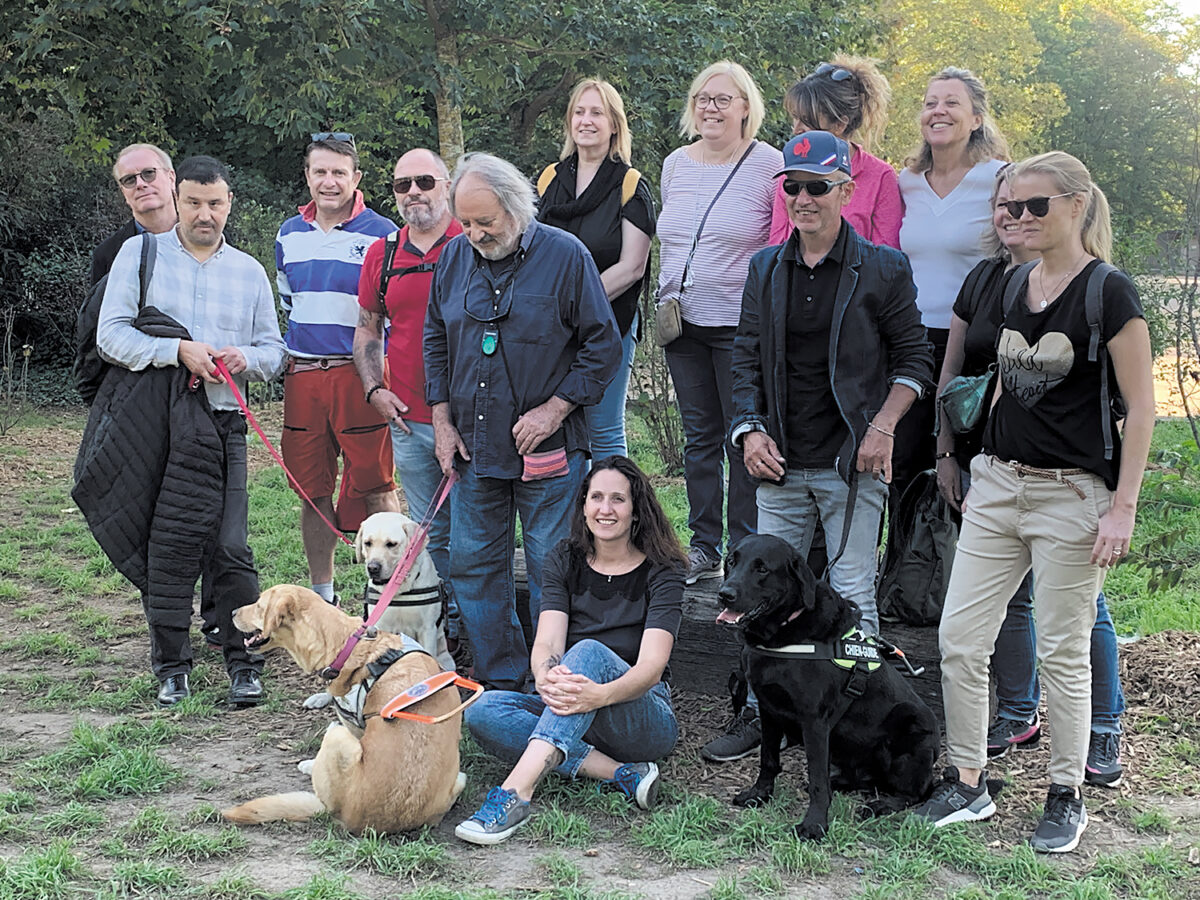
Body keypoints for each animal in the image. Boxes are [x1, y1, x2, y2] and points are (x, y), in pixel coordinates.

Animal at [220, 588, 463, 835]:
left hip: (337, 734)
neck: (347, 646)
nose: (232, 612)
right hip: (458, 779)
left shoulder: (352, 724)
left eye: (259, 606)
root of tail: (351, 820)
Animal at [710, 535, 936, 840]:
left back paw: (881, 804)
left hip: (914, 720)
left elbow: (816, 777)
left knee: (914, 793)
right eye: (732, 561)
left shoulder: (814, 721)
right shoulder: (769, 710)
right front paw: (759, 794)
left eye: (762, 569)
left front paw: (814, 824)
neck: (783, 634)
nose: (725, 594)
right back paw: (842, 782)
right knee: (863, 779)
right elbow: (768, 759)